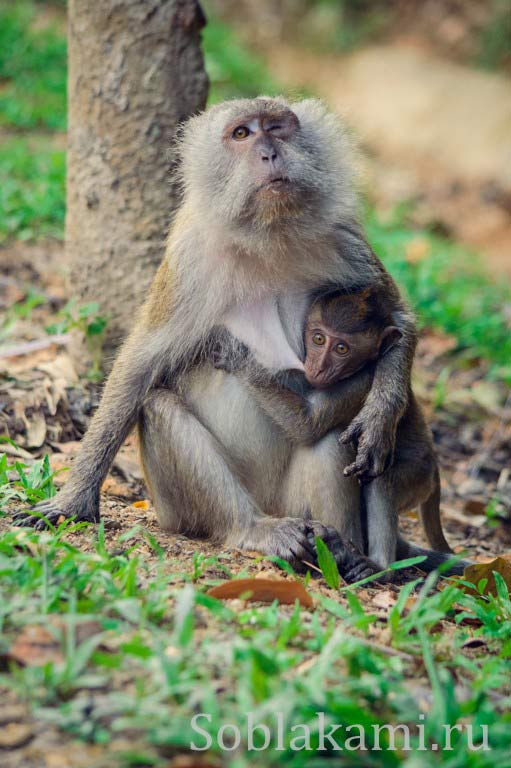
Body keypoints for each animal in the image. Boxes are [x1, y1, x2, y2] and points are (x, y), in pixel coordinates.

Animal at [16, 96, 438, 572]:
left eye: (277, 127)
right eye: (242, 134)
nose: (269, 153)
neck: (267, 233)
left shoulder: (344, 235)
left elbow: (397, 319)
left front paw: (380, 417)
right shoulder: (188, 257)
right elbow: (141, 364)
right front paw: (72, 502)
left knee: (329, 437)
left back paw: (340, 549)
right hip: (179, 510)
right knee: (160, 407)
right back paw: (254, 530)